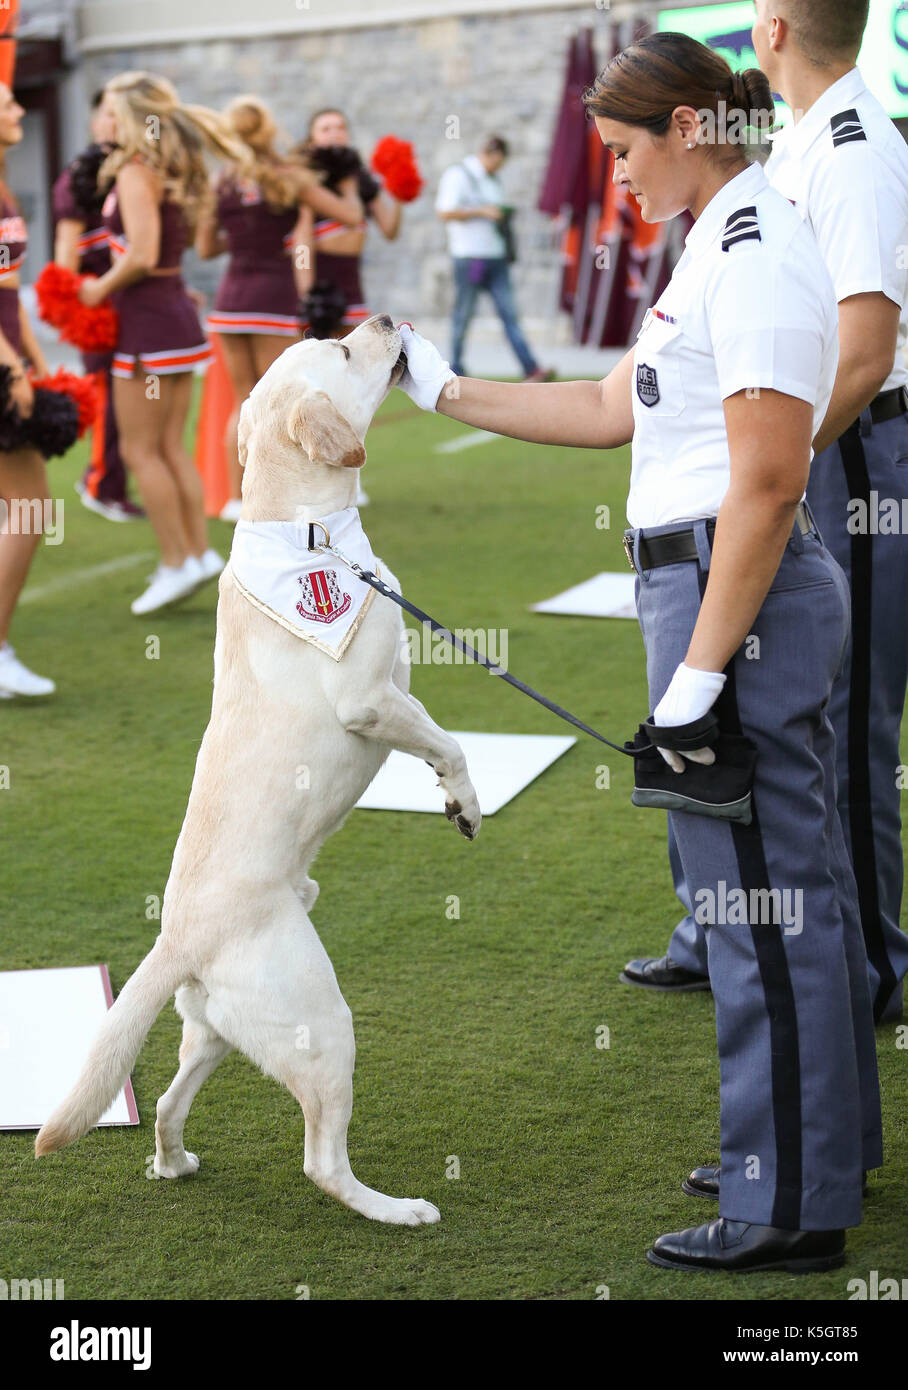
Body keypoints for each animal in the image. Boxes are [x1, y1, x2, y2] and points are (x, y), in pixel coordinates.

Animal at [33, 315, 481, 1228]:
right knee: (321, 1161)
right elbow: (450, 742)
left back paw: (173, 1164)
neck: (308, 529)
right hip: (321, 1021)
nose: (384, 317)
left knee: (167, 1107)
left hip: (214, 1030)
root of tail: (176, 939)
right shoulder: (369, 700)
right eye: (342, 351)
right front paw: (467, 800)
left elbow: (435, 739)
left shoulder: (395, 694)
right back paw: (395, 1209)